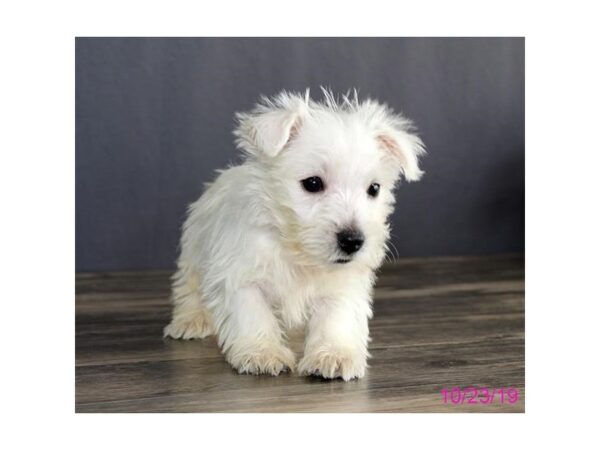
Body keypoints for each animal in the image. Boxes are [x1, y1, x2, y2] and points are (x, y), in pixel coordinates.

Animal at [164, 88, 426, 380]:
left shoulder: (340, 284)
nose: (353, 241)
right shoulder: (240, 276)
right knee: (188, 287)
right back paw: (191, 320)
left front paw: (333, 354)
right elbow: (253, 314)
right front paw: (263, 353)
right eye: (312, 183)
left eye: (374, 189)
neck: (296, 251)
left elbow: (335, 317)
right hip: (193, 251)